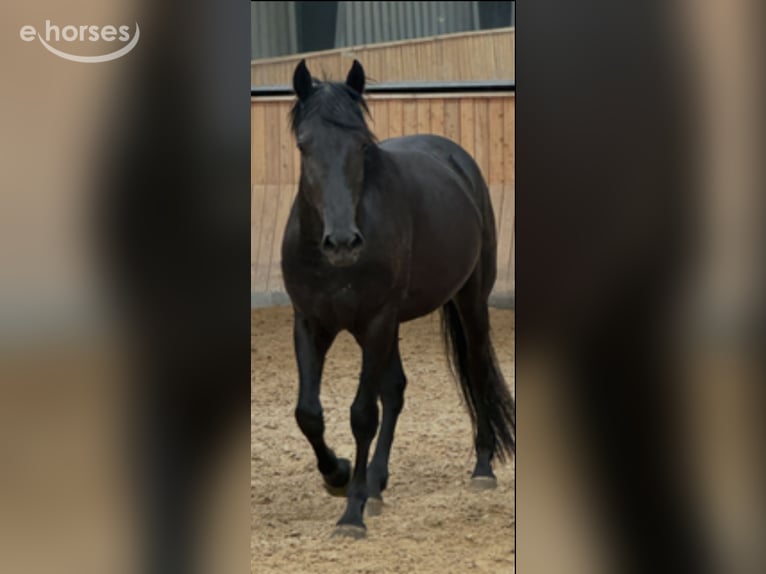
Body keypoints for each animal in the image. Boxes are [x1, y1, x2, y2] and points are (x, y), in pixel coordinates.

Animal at [281, 59, 515, 539]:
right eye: (304, 145)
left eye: (361, 144)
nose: (342, 243)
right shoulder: (311, 322)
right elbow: (309, 413)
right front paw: (339, 475)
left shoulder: (376, 321)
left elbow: (362, 415)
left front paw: (351, 513)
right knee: (395, 390)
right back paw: (376, 483)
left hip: (469, 301)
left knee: (476, 371)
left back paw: (482, 468)